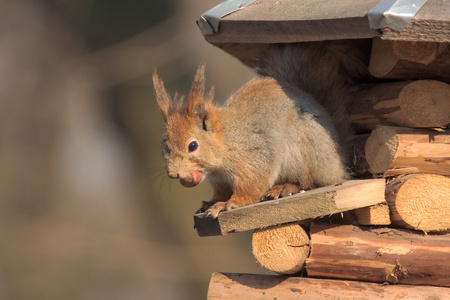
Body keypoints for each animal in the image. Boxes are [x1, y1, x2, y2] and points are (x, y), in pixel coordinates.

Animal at [153, 39, 370, 218]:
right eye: (163, 147)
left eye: (192, 146)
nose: (174, 174)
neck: (227, 140)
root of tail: (338, 159)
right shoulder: (220, 180)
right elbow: (221, 191)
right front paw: (212, 203)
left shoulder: (254, 156)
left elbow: (252, 185)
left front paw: (230, 203)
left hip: (307, 152)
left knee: (311, 181)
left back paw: (285, 187)